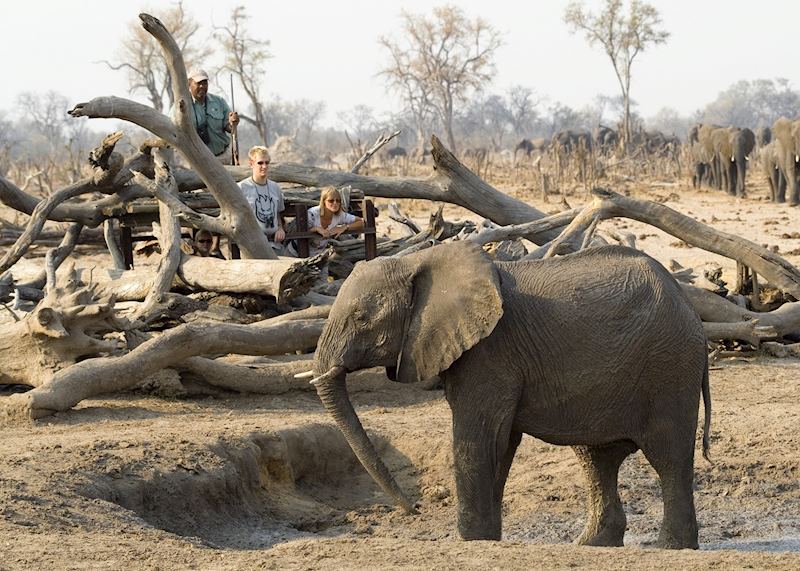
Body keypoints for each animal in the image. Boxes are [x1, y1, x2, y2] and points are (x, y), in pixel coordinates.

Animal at [310, 241, 708, 548]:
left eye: (362, 318)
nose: (415, 508)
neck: (419, 259)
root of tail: (689, 305)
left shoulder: (490, 352)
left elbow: (478, 439)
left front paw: (470, 541)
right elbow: (499, 444)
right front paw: (486, 539)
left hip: (670, 367)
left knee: (668, 457)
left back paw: (671, 547)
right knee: (598, 460)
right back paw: (592, 544)